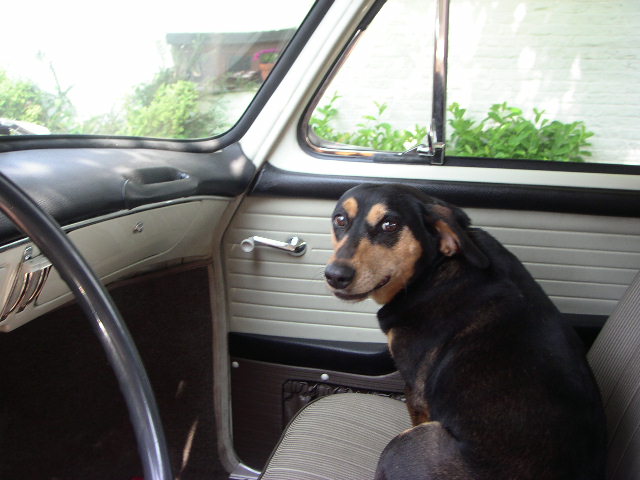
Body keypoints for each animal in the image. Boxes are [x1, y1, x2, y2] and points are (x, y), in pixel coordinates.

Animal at [324, 183, 606, 480]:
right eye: (340, 220)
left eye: (390, 224)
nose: (335, 275)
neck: (434, 269)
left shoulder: (416, 393)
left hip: (403, 444)